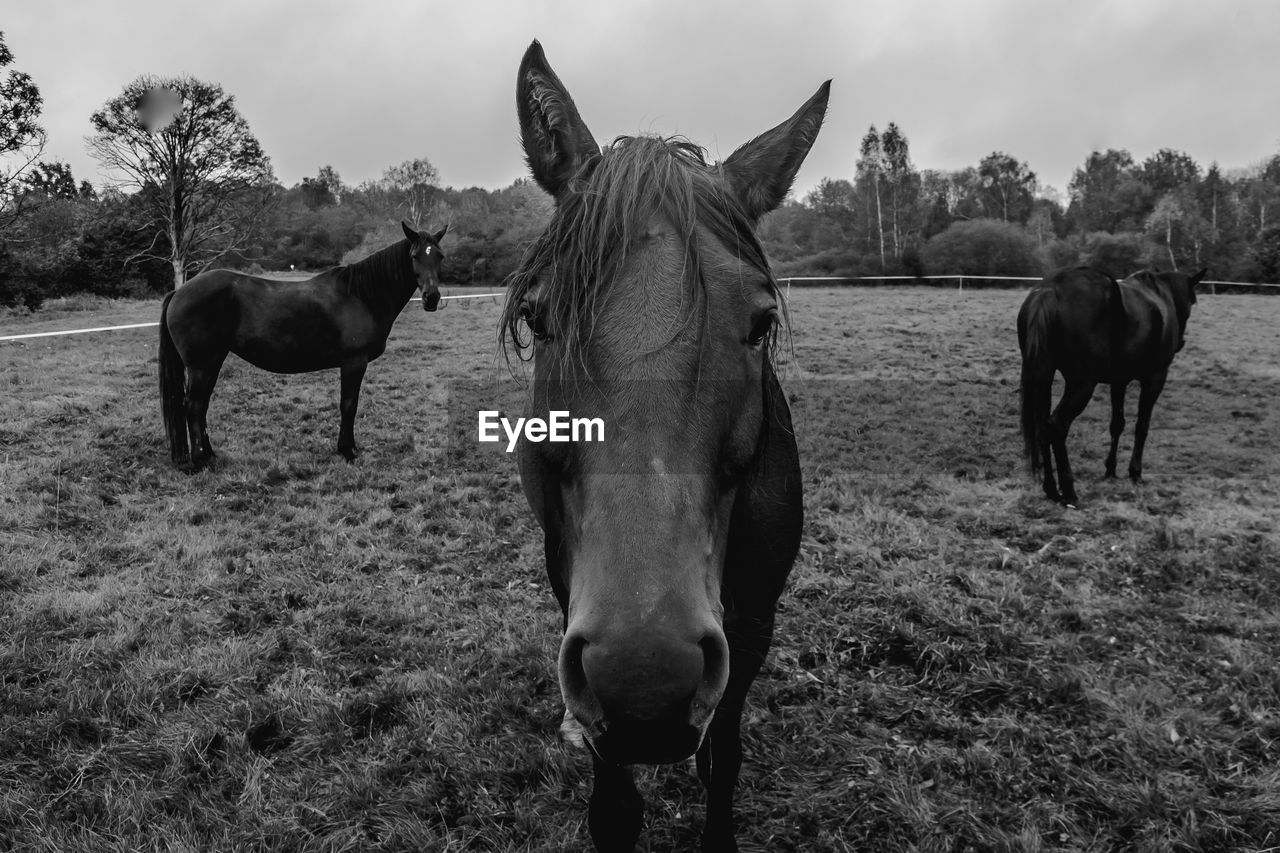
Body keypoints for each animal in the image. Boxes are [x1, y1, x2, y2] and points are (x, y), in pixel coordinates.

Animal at [160, 219, 445, 468]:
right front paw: (347, 450)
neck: (361, 295)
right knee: (193, 406)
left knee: (201, 406)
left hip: (211, 362)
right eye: (415, 256)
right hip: (202, 365)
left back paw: (209, 454)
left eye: (439, 257)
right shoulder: (354, 362)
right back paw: (201, 460)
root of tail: (180, 291)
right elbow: (349, 405)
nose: (431, 298)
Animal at [504, 41, 824, 850]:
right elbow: (614, 804)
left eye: (760, 323)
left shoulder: (752, 624)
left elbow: (724, 756)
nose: (645, 678)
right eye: (539, 318)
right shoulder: (577, 614)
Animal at [1013, 263, 1203, 504]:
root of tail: (1050, 289)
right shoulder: (1155, 378)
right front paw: (1135, 472)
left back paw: (1051, 489)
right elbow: (1142, 425)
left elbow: (1117, 424)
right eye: (1192, 301)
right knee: (1056, 425)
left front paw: (1110, 469)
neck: (1160, 296)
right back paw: (1069, 491)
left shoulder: (1119, 381)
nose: (1181, 342)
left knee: (1042, 426)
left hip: (1043, 377)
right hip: (1082, 385)